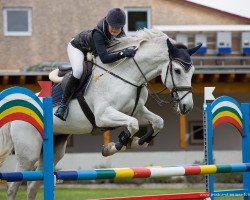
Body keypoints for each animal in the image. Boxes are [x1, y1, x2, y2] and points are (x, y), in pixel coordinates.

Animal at [0, 28, 200, 200]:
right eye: (177, 70)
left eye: (192, 72)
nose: (186, 106)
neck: (128, 75)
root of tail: (20, 106)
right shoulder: (103, 115)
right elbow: (132, 124)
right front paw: (114, 146)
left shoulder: (137, 110)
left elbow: (157, 122)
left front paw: (139, 142)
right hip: (29, 150)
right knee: (13, 185)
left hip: (54, 148)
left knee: (34, 184)